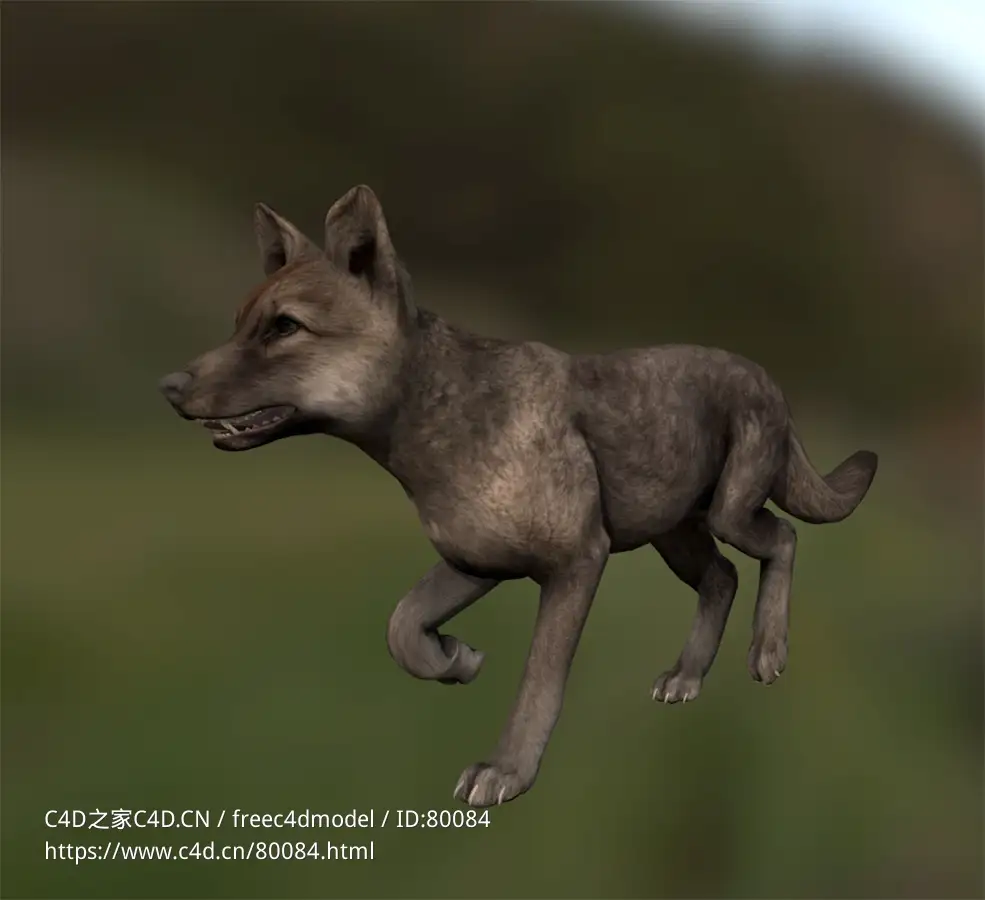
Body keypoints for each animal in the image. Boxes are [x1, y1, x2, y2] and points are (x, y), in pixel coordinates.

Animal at [159, 185, 878, 808]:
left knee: (782, 538)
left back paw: (768, 652)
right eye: (238, 325)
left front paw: (506, 771)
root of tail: (768, 377)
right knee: (724, 577)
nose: (168, 387)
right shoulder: (475, 562)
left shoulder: (575, 563)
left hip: (727, 512)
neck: (434, 417)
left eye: (284, 328)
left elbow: (539, 682)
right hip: (674, 533)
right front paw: (455, 660)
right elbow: (401, 626)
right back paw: (686, 677)